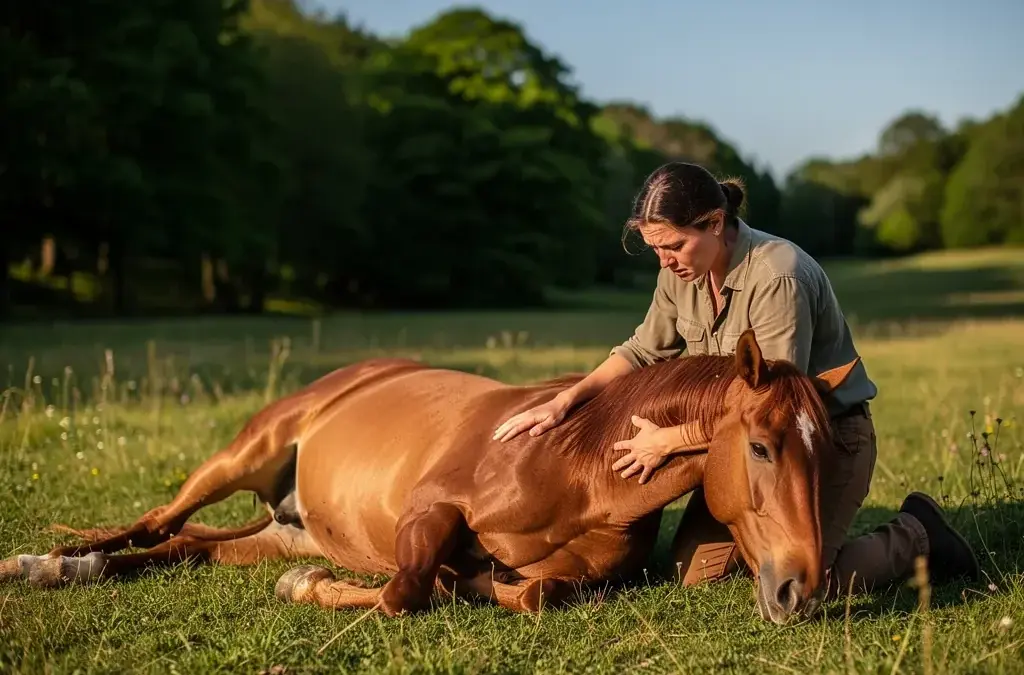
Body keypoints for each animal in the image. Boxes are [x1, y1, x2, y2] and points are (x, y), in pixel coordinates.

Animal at [1, 329, 859, 625]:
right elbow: (402, 591)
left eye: (831, 452)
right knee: (154, 522)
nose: (801, 585)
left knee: (182, 547)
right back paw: (40, 563)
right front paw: (312, 590)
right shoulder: (430, 509)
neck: (579, 461)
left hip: (278, 531)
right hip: (239, 456)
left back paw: (70, 568)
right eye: (761, 447)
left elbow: (533, 593)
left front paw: (481, 582)